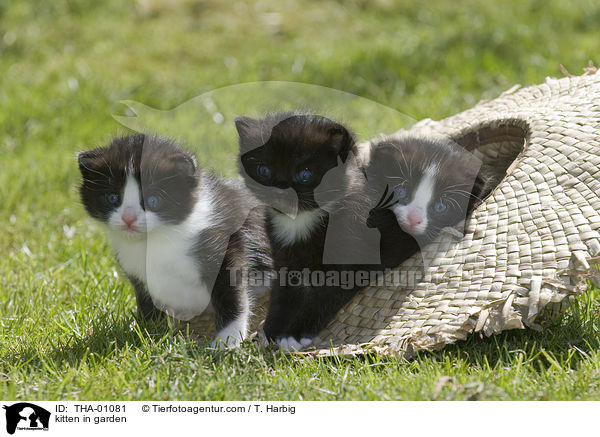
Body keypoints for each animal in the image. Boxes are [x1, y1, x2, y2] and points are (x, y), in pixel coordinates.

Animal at [77, 135, 272, 346]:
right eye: (112, 198)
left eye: (153, 200)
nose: (128, 219)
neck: (158, 238)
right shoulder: (140, 275)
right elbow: (148, 304)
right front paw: (148, 332)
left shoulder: (224, 244)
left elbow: (232, 294)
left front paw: (227, 342)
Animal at [234, 113, 370, 350]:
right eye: (264, 170)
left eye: (304, 174)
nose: (280, 190)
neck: (299, 221)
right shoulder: (283, 258)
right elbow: (282, 294)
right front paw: (272, 329)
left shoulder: (349, 261)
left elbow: (324, 297)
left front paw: (296, 333)